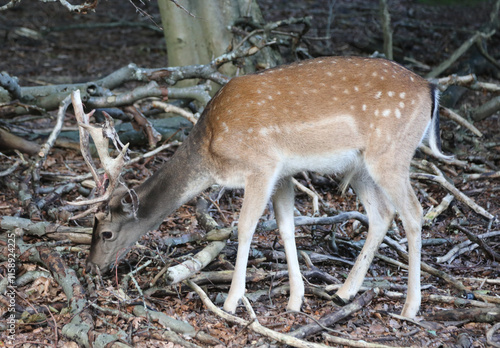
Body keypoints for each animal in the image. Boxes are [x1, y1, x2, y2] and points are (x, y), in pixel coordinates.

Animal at [82, 56, 450, 318]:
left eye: (107, 233)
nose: (92, 266)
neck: (211, 152)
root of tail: (430, 88)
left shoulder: (261, 165)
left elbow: (245, 227)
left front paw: (232, 301)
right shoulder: (283, 174)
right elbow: (286, 227)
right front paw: (295, 300)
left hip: (391, 153)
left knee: (414, 212)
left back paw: (410, 307)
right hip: (359, 166)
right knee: (382, 214)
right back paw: (345, 292)